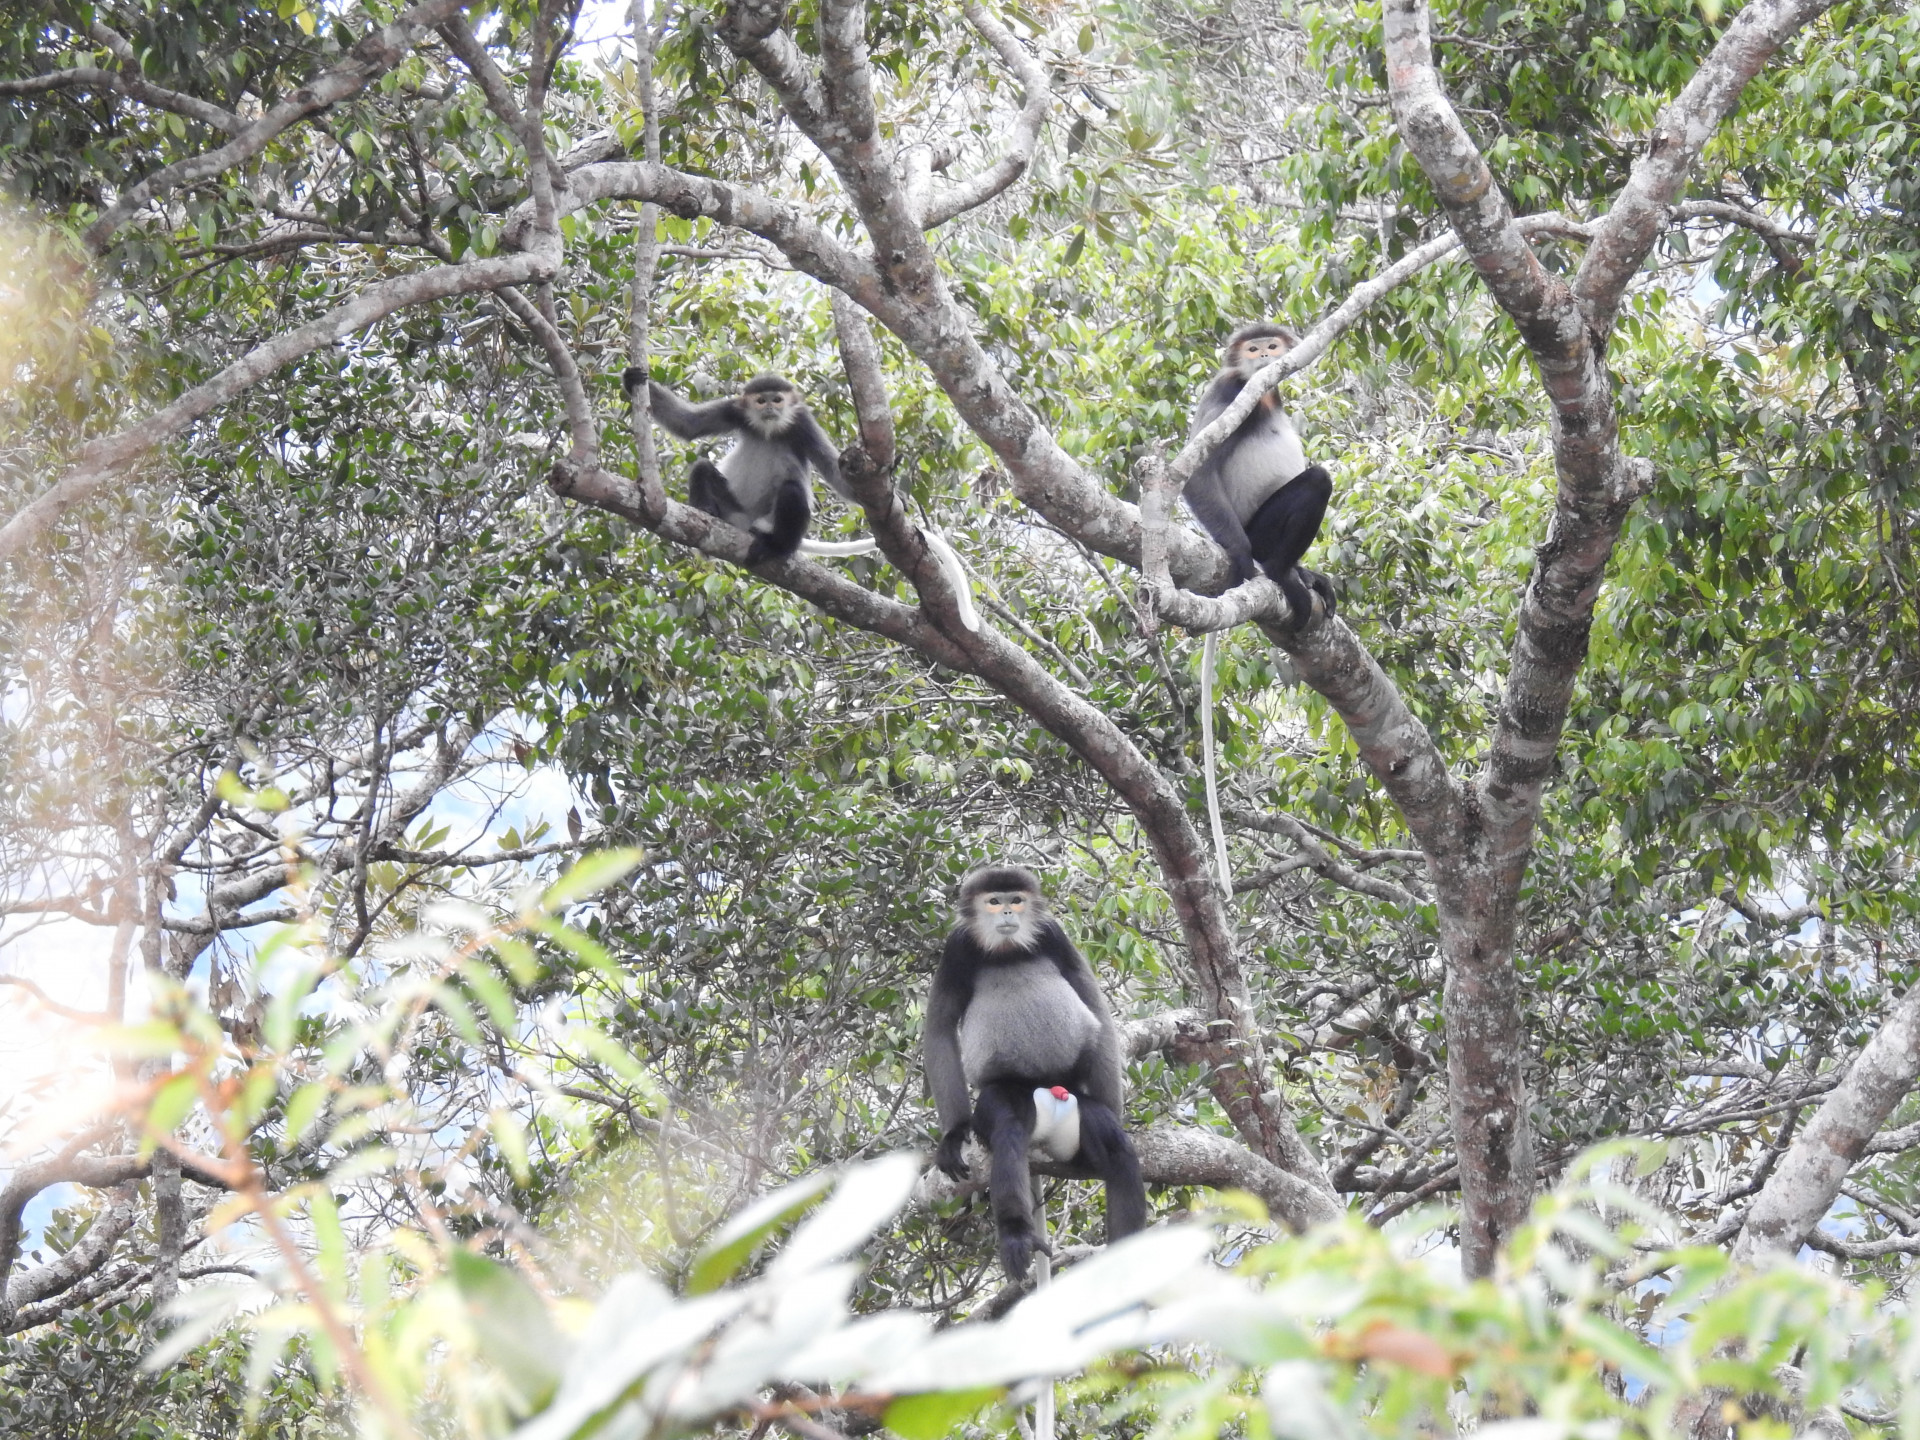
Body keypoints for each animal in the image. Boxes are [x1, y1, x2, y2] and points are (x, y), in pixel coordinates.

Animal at [622, 368, 856, 568]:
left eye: (777, 400)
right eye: (761, 401)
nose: (770, 408)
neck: (769, 430)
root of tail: (748, 522)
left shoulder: (803, 423)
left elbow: (835, 473)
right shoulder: (735, 410)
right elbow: (688, 424)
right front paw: (631, 380)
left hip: (771, 521)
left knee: (792, 490)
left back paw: (777, 547)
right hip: (734, 510)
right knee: (702, 467)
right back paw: (707, 512)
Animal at [921, 867, 1144, 1282]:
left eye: (1016, 899)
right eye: (994, 901)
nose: (1008, 912)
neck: (1007, 950)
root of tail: (1047, 1090)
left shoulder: (1054, 935)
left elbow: (1094, 1006)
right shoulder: (957, 949)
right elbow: (940, 1031)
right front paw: (954, 1134)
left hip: (1077, 1105)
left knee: (1117, 1148)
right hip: (1006, 1097)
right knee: (1009, 1131)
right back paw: (1016, 1236)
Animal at [1182, 324, 1336, 629]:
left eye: (1272, 346)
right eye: (1253, 349)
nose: (1264, 354)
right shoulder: (1232, 394)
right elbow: (1196, 475)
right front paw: (1240, 554)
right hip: (1260, 534)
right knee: (1318, 481)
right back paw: (1281, 572)